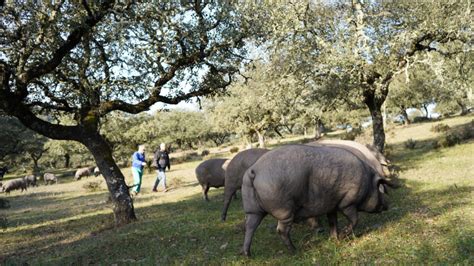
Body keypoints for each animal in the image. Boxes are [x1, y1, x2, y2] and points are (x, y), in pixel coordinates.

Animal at [243, 144, 394, 256]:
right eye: (379, 189)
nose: (387, 205)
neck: (367, 184)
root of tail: (254, 170)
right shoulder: (347, 202)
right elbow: (354, 219)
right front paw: (343, 236)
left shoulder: (332, 205)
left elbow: (333, 221)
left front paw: (334, 239)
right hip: (283, 209)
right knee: (281, 230)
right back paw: (295, 251)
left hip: (252, 208)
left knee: (250, 226)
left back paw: (246, 254)